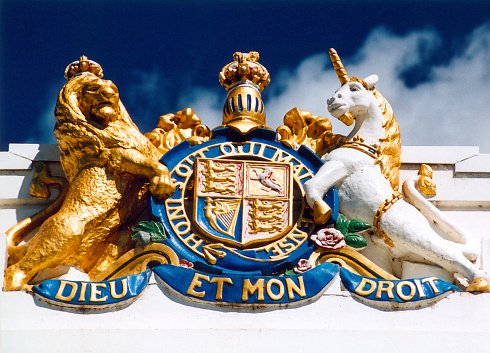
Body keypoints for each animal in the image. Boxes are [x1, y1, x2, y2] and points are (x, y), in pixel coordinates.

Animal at [3, 73, 176, 290]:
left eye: (111, 85)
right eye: (93, 88)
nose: (110, 94)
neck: (107, 123)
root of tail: (28, 244)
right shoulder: (116, 154)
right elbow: (151, 164)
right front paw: (164, 179)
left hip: (110, 237)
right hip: (67, 231)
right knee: (17, 269)